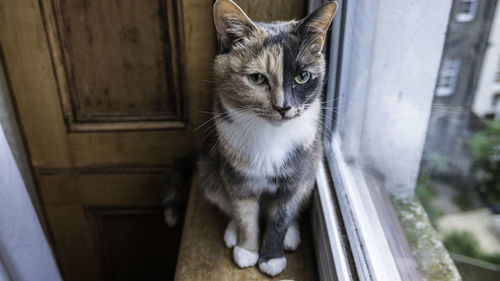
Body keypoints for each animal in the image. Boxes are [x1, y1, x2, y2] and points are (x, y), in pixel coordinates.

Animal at [194, 0, 336, 274]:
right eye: (257, 78)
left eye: (303, 76)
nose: (283, 107)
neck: (271, 135)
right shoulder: (237, 178)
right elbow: (245, 214)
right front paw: (247, 250)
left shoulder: (296, 177)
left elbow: (281, 217)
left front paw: (271, 258)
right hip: (209, 171)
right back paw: (233, 232)